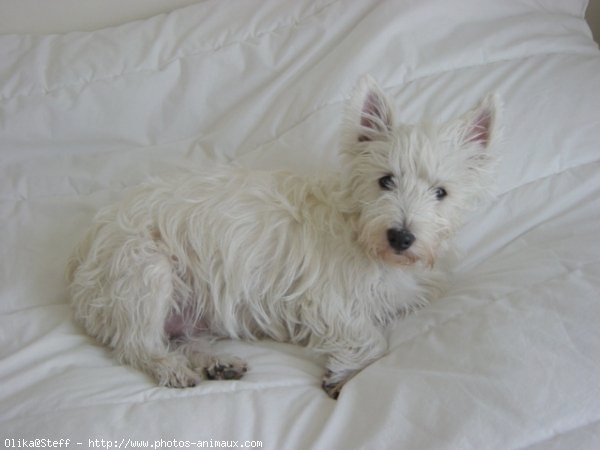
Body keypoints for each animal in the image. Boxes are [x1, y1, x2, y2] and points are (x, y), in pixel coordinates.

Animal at [65, 76, 500, 398]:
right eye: (386, 180)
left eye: (441, 192)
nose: (401, 237)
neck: (362, 234)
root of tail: (79, 260)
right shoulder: (326, 301)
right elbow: (375, 340)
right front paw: (343, 374)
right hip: (145, 273)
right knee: (138, 344)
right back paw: (173, 369)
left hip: (190, 304)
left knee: (180, 337)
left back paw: (217, 363)